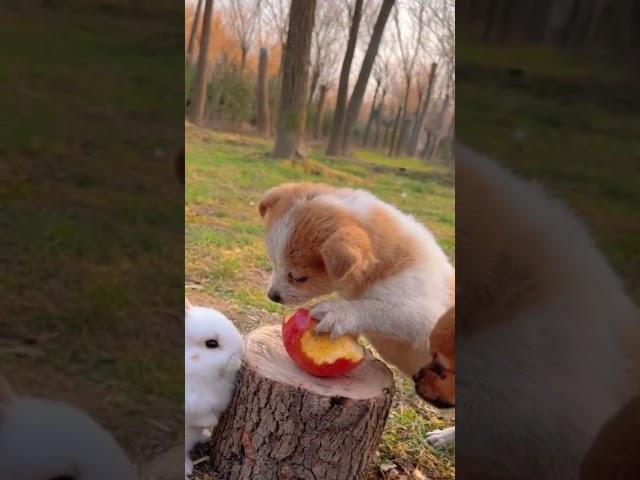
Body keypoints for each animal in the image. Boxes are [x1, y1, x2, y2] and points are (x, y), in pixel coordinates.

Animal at [258, 182, 452, 376]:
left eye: (299, 278)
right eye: (273, 263)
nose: (272, 296)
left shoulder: (427, 319)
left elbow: (379, 308)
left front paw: (338, 312)